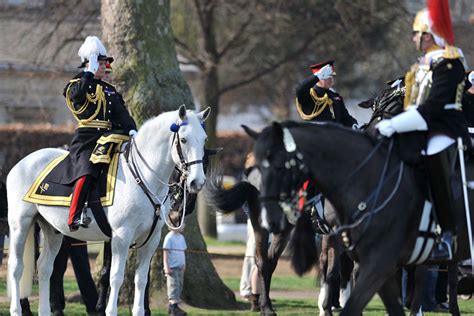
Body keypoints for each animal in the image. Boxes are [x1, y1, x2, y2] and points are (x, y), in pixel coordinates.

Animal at [6, 105, 210, 314]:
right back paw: (16, 310)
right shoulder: (121, 236)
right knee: (16, 267)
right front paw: (109, 310)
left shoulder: (150, 240)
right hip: (20, 224)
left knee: (45, 267)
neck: (143, 178)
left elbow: (141, 280)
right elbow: (115, 277)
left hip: (53, 230)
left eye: (204, 139)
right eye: (183, 139)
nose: (197, 182)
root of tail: (21, 163)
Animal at [246, 119, 472, 314]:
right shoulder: (341, 237)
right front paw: (329, 306)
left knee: (268, 261)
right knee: (265, 262)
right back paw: (266, 306)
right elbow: (335, 273)